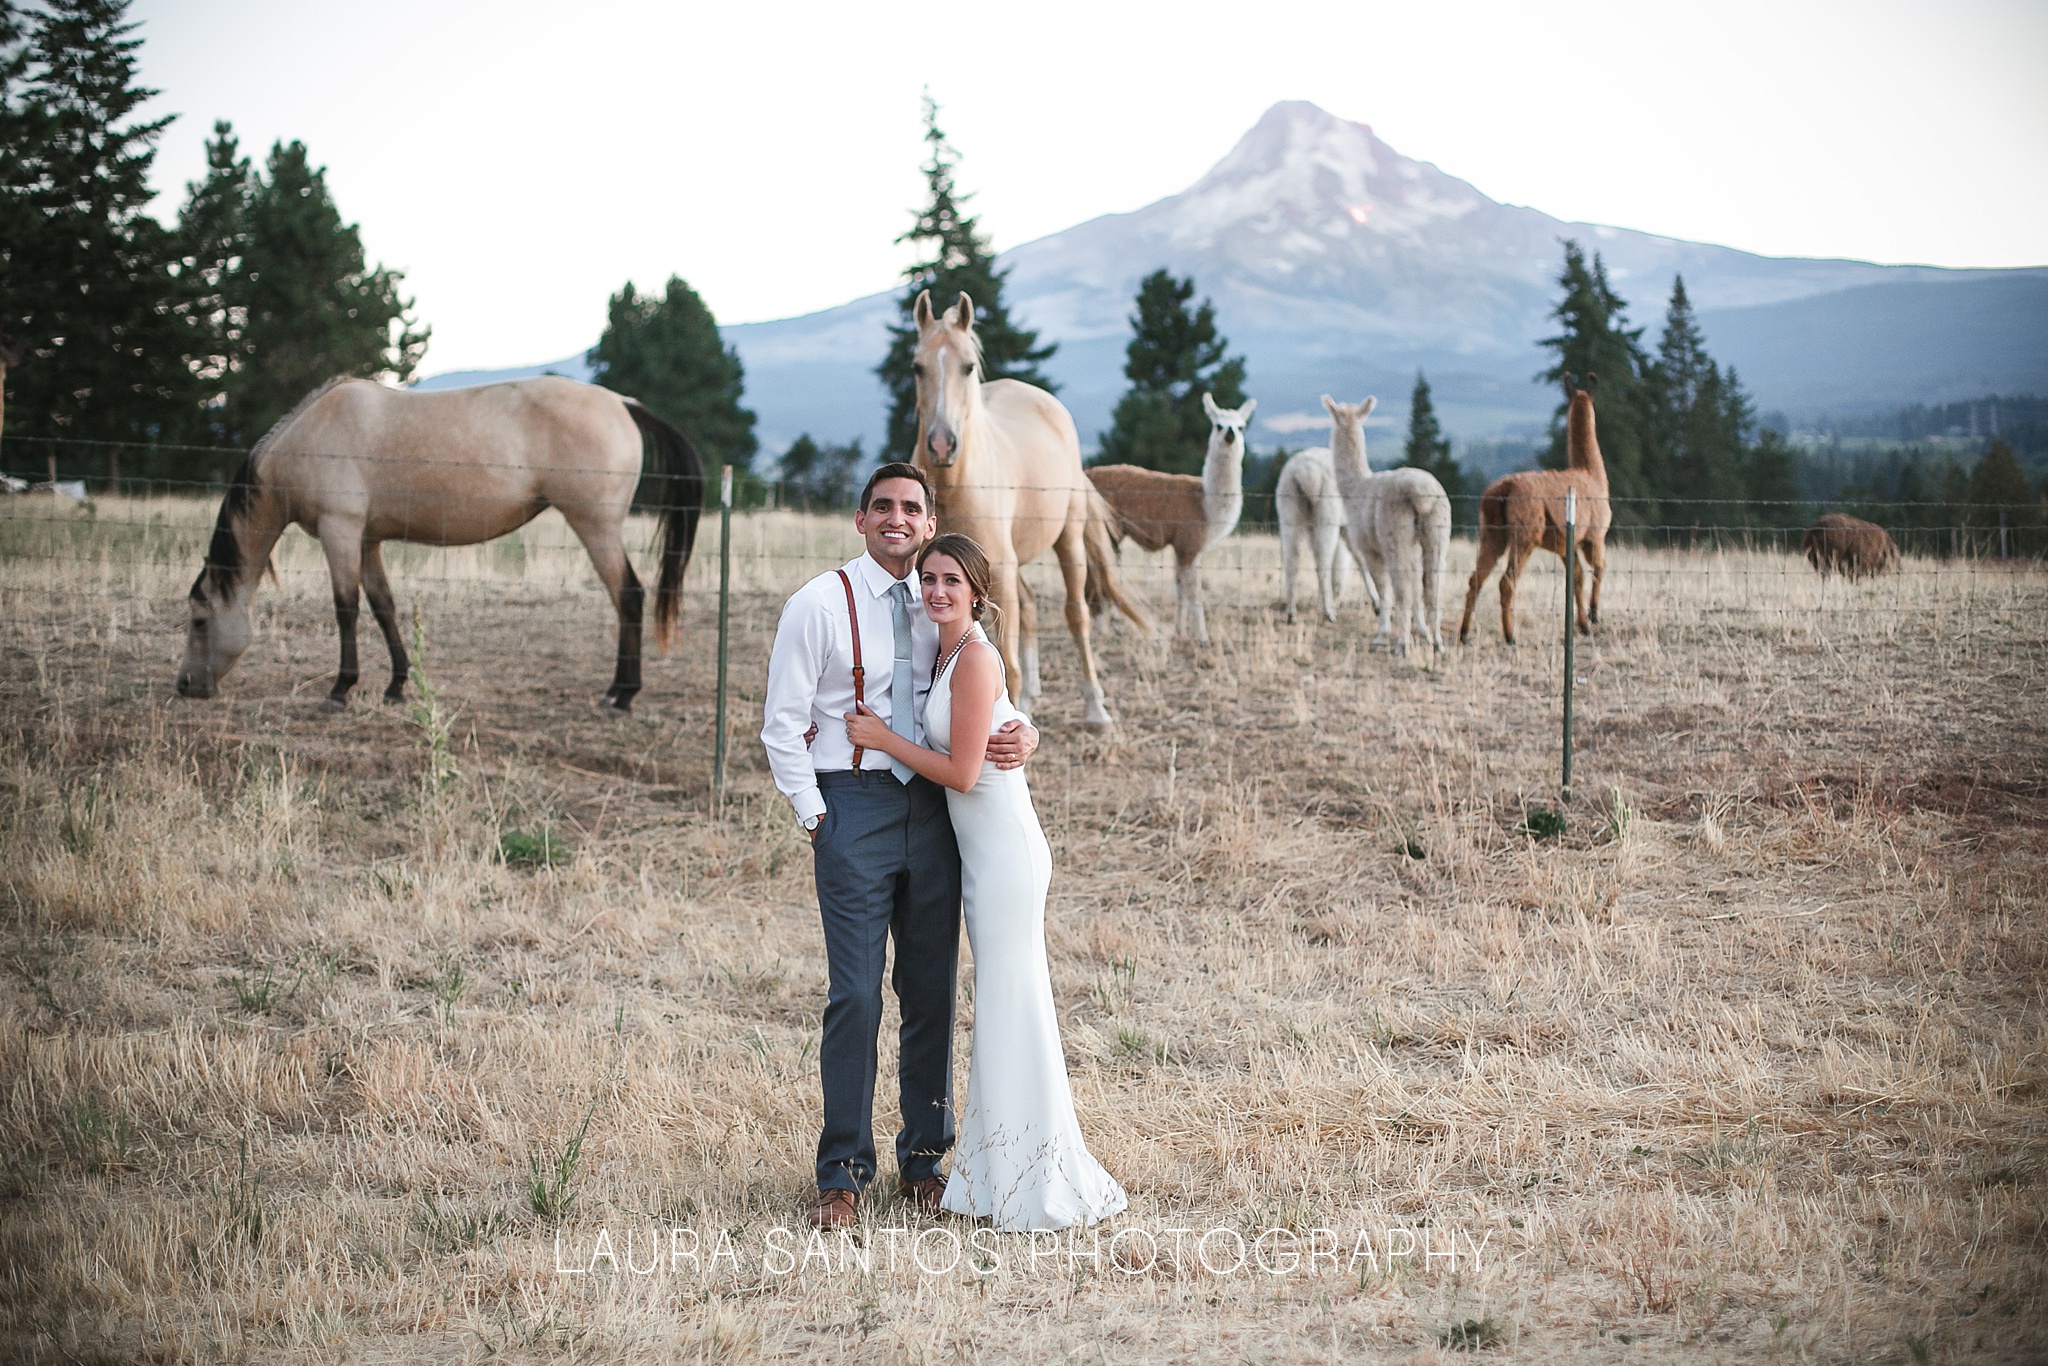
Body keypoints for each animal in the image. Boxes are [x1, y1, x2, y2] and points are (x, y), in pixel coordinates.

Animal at [176, 376, 704, 716]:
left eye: (200, 621)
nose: (185, 686)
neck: (311, 437)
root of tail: (623, 402)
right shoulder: (367, 539)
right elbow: (383, 606)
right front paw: (395, 686)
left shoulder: (339, 530)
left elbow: (345, 608)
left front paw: (340, 689)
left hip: (595, 528)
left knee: (629, 595)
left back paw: (622, 695)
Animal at [917, 290, 1155, 733]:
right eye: (917, 367)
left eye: (968, 366)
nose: (942, 444)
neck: (955, 484)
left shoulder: (999, 572)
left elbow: (1004, 664)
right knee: (1028, 611)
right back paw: (1028, 700)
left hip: (1067, 542)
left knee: (1077, 616)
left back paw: (1095, 709)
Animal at [1458, 374, 1613, 647]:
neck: (1591, 475)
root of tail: (1505, 487)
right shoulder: (1595, 535)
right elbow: (1598, 569)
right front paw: (1593, 616)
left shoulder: (1566, 544)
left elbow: (1576, 578)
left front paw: (1583, 625)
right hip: (1525, 533)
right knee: (1506, 582)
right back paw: (1510, 636)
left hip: (1492, 533)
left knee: (1476, 578)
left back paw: (1465, 634)